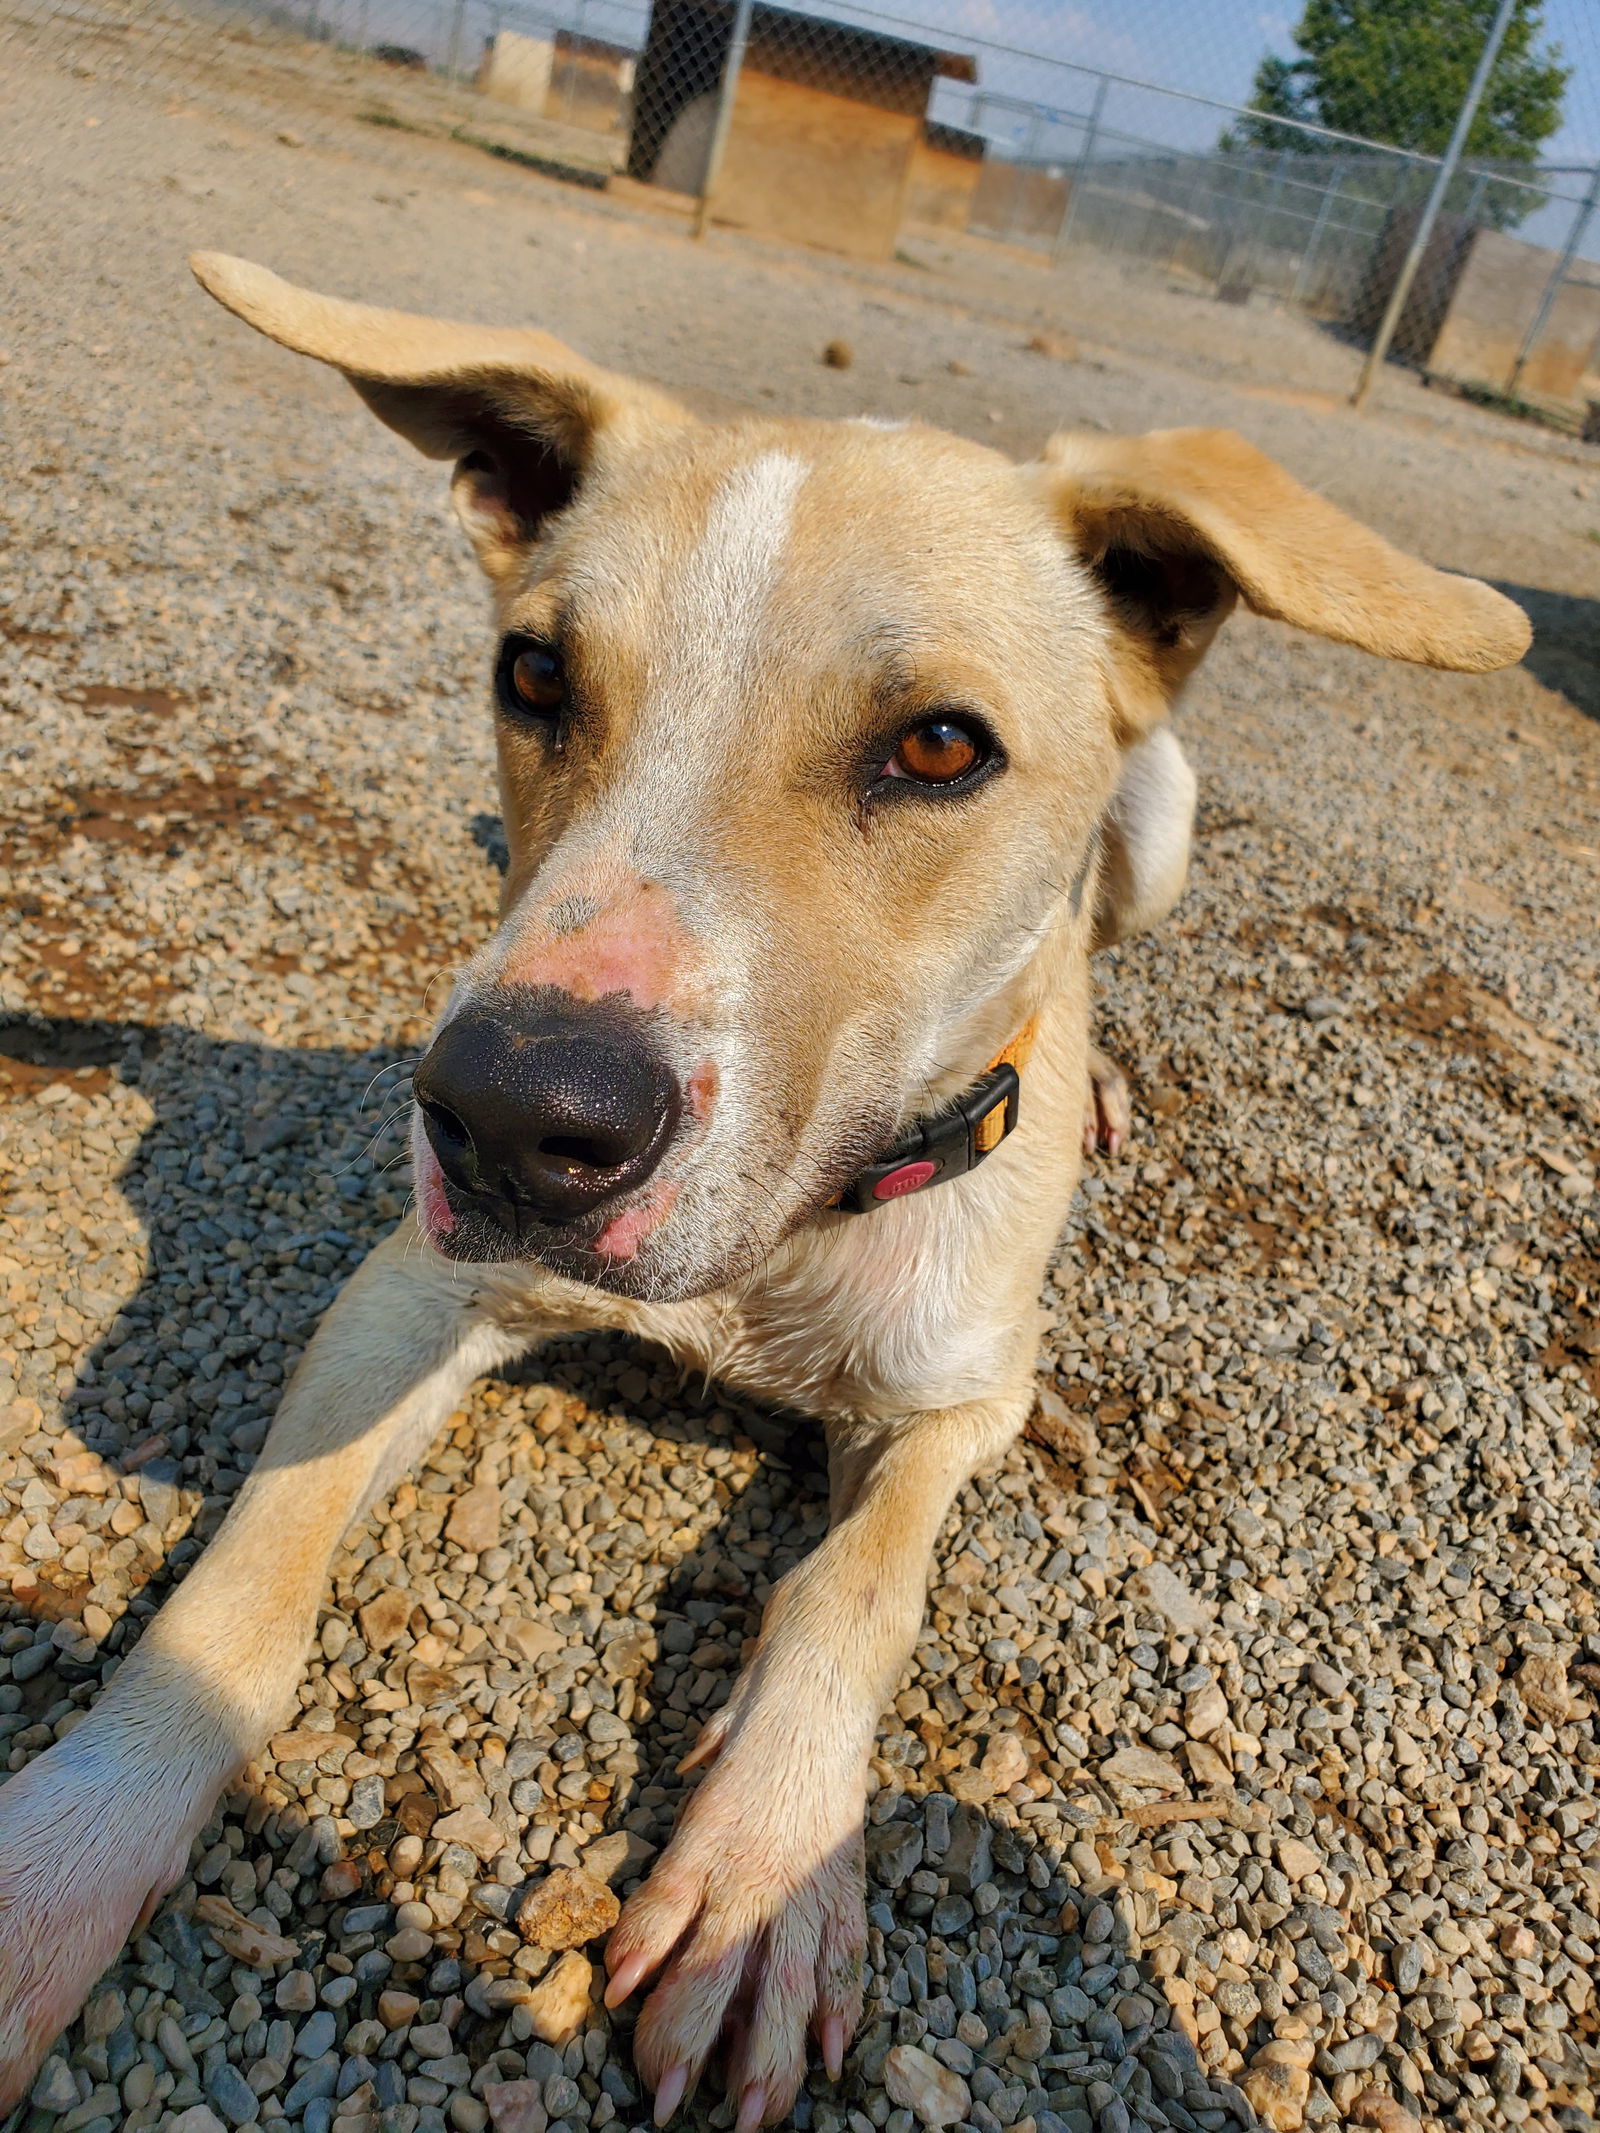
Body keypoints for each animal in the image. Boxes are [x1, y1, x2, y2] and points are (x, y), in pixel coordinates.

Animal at [0, 258, 1536, 2124]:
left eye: (940, 746)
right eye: (533, 672)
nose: (510, 1113)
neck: (795, 1221)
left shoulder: (962, 1397)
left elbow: (850, 1592)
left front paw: (760, 1876)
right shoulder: (415, 1283)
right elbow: (245, 1581)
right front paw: (62, 1854)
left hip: (1165, 818)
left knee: (1099, 926)